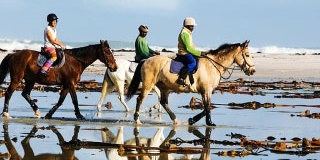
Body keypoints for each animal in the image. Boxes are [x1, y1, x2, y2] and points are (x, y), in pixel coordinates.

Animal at [126, 40, 256, 126]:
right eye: (247, 55)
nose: (253, 70)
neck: (212, 65)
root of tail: (145, 60)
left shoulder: (205, 91)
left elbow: (206, 107)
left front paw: (193, 120)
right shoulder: (206, 90)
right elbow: (207, 107)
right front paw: (208, 122)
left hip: (164, 88)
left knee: (163, 102)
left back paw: (175, 120)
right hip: (148, 85)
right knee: (140, 99)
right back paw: (137, 120)